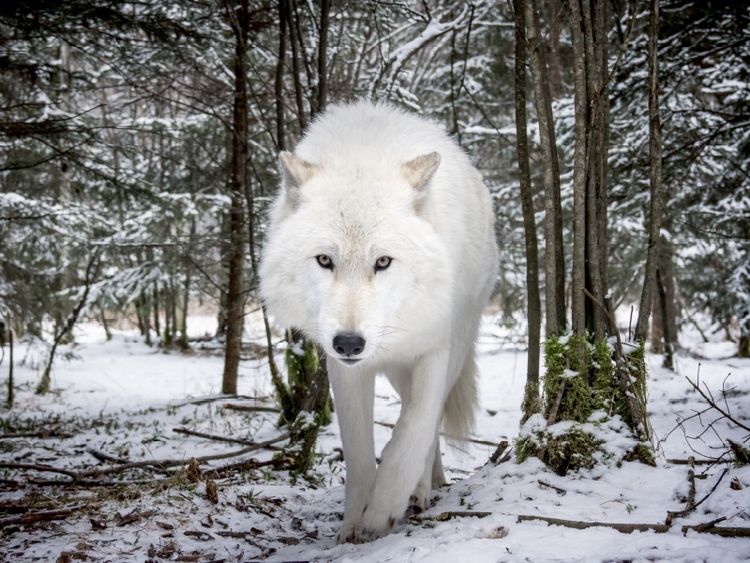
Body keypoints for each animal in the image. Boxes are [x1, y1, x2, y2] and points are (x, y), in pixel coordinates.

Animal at [260, 101, 498, 543]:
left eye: (383, 261)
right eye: (324, 260)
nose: (349, 343)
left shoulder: (435, 349)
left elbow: (412, 431)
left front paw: (383, 508)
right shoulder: (346, 370)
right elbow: (357, 451)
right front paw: (354, 523)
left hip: (456, 345)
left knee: (429, 421)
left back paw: (420, 490)